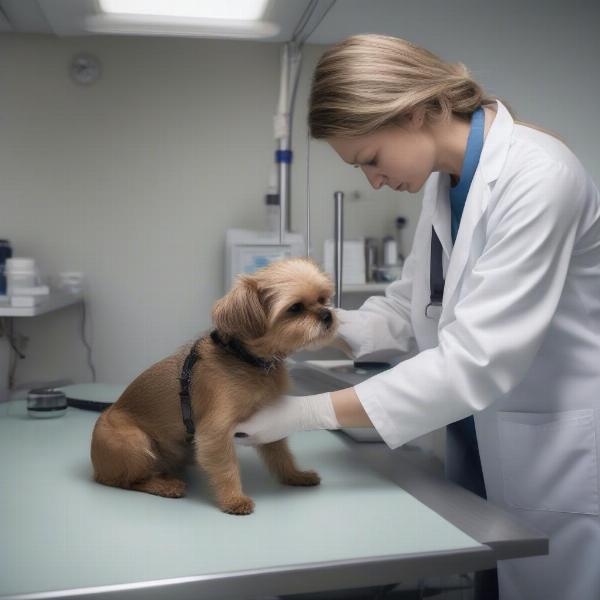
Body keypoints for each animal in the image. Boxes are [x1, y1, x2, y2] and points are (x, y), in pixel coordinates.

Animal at [89, 258, 338, 516]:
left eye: (323, 299)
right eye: (295, 308)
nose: (328, 314)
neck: (246, 359)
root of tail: (97, 469)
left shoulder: (270, 423)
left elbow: (281, 455)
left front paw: (295, 476)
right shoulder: (214, 432)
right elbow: (227, 467)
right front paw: (234, 499)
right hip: (134, 442)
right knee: (128, 481)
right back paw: (165, 485)